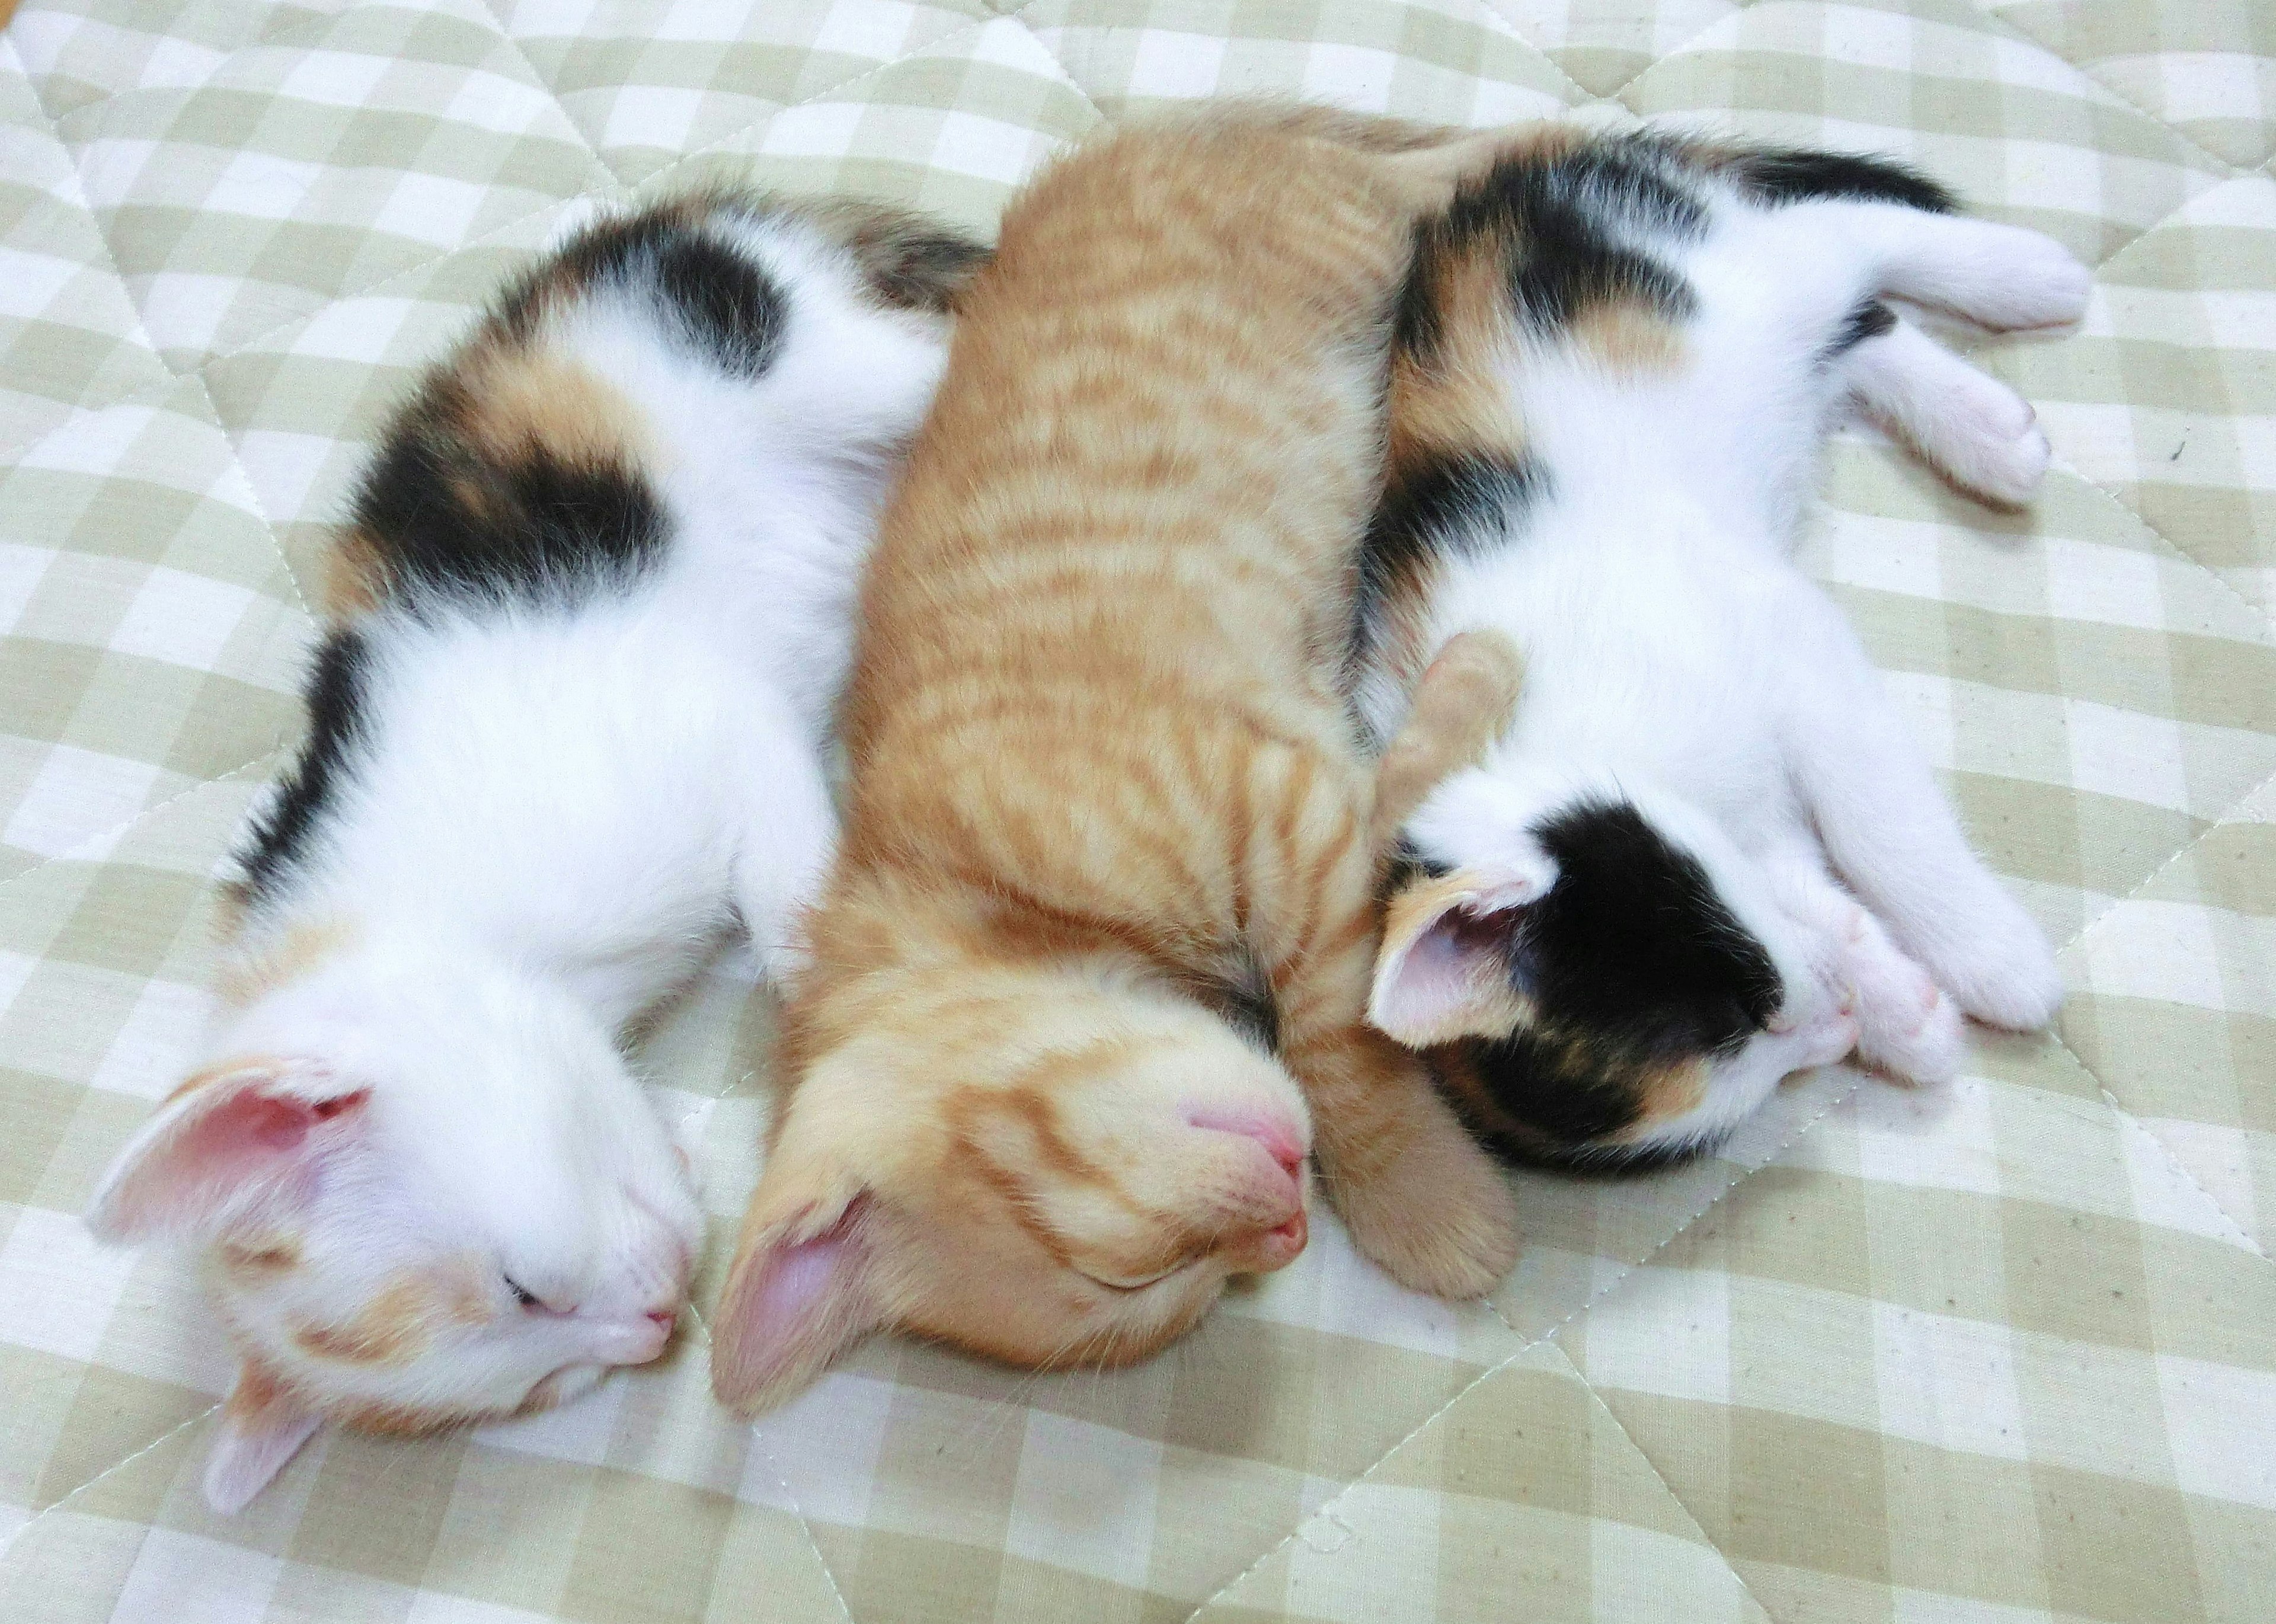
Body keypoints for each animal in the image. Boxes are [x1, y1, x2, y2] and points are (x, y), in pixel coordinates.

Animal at [82, 186, 987, 1501]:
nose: (656, 1321)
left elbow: (788, 897)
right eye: (541, 1383)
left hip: (767, 354)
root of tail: (674, 219)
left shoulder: (706, 722)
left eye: (525, 1287)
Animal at [710, 111, 1529, 1401]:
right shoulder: (1320, 774)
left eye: (1112, 1265)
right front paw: (1477, 676)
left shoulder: (1275, 809)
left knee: (1433, 170)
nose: (1288, 1227)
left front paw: (1423, 1202)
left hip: (1340, 228)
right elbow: (1399, 803)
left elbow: (1342, 1039)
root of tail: (1143, 142)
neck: (970, 889)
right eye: (1171, 1296)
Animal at [1347, 129, 2085, 1164]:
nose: (1835, 1026)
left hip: (1719, 281)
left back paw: (2027, 275)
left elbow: (1878, 819)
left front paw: (1996, 960)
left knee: (1849, 235)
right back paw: (1988, 430)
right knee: (1860, 324)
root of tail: (1557, 154)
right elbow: (1814, 889)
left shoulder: (1783, 636)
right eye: (1744, 1027)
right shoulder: (1749, 830)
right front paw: (1904, 1013)